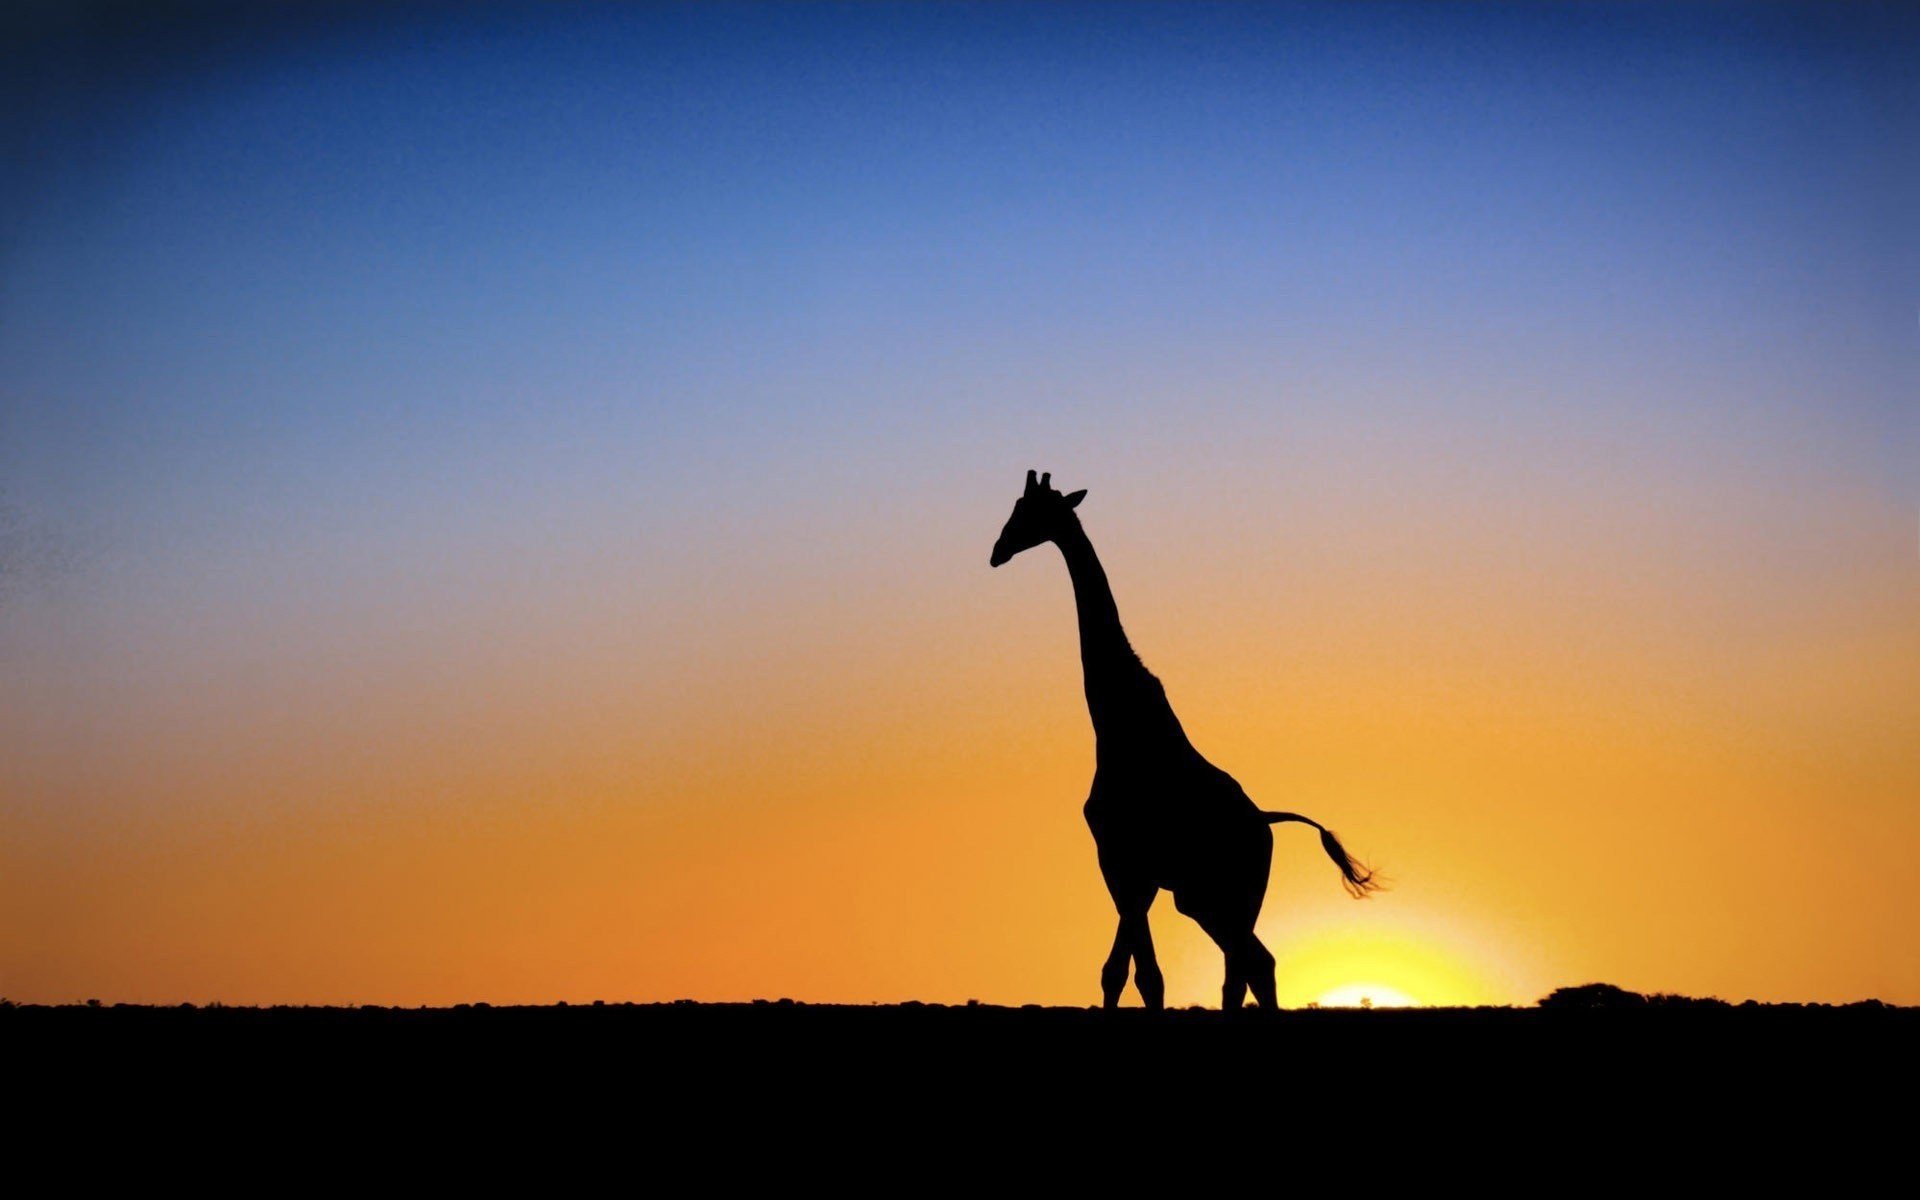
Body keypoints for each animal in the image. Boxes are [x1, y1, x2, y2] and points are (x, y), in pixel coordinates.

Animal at [991, 470, 1379, 1010]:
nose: (997, 551)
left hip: (1216, 895)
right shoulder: (1138, 871)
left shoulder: (1121, 858)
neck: (1117, 722)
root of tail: (1265, 821)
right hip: (1213, 898)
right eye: (1016, 507)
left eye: (1029, 511)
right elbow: (1120, 971)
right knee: (1249, 966)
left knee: (1252, 963)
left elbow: (1142, 975)